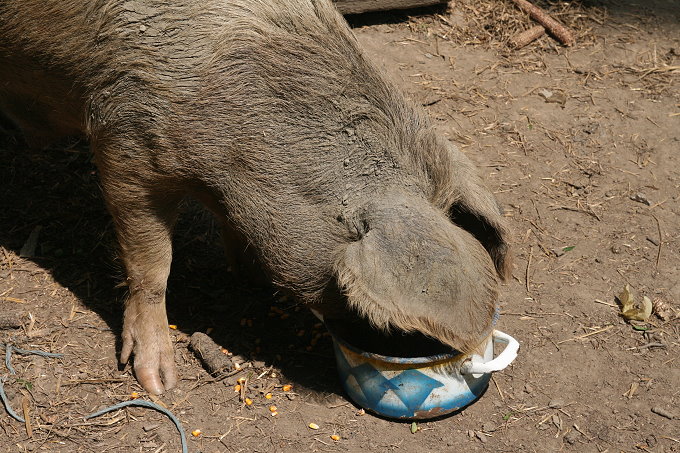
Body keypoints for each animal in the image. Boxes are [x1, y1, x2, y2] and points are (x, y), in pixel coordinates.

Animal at [0, 0, 510, 392]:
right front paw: (159, 384)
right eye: (386, 321)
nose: (398, 353)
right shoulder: (122, 138)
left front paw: (248, 275)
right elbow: (152, 265)